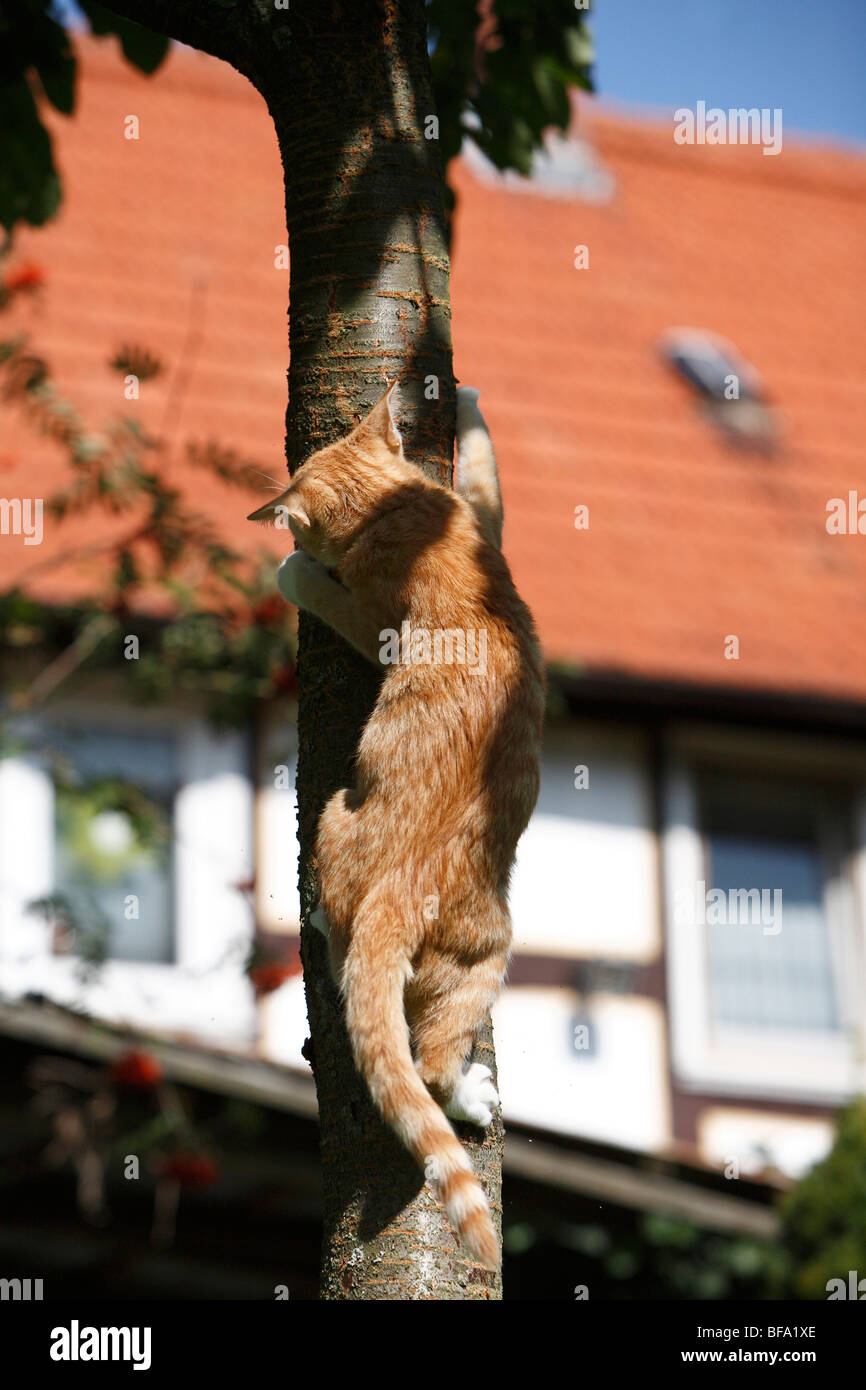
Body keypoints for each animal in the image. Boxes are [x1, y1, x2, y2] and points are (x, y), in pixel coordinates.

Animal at [250, 383, 544, 1273]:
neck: (400, 514)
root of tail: (393, 891)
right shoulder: (478, 522)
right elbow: (486, 472)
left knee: (416, 1045)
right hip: (479, 950)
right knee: (430, 1060)